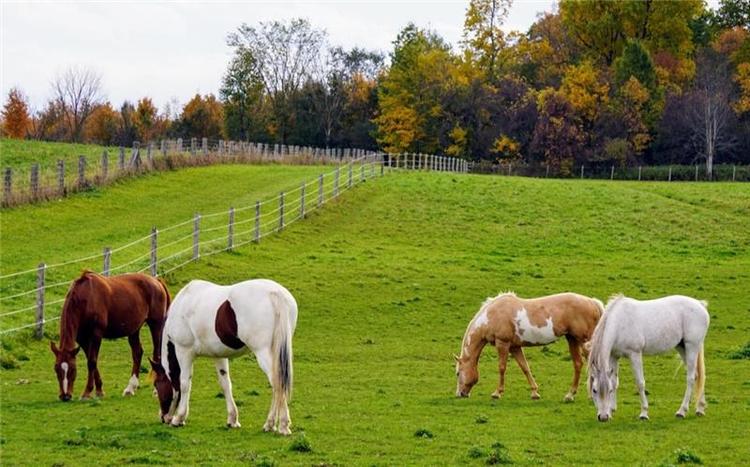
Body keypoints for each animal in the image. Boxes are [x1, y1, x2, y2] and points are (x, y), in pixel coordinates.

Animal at [50, 271, 170, 401]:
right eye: (56, 369)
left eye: (73, 369)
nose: (65, 396)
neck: (86, 298)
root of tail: (156, 281)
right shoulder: (82, 339)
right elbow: (91, 361)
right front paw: (99, 390)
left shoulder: (96, 335)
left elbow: (92, 362)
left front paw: (87, 392)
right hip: (134, 330)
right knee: (137, 353)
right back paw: (130, 388)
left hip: (156, 325)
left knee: (157, 354)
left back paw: (156, 390)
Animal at [149, 278, 297, 433]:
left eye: (156, 386)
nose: (163, 417)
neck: (183, 304)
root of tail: (275, 293)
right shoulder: (219, 355)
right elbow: (225, 384)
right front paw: (232, 419)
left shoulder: (184, 352)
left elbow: (184, 384)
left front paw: (179, 418)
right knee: (277, 386)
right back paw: (271, 424)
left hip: (262, 352)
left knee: (277, 382)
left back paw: (281, 424)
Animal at [455, 292, 603, 401]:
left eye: (457, 373)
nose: (460, 394)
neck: (491, 316)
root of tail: (593, 302)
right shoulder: (514, 347)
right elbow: (525, 367)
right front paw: (534, 393)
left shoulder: (502, 343)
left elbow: (502, 367)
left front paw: (497, 393)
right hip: (572, 339)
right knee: (578, 364)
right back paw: (570, 395)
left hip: (583, 341)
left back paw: (591, 396)